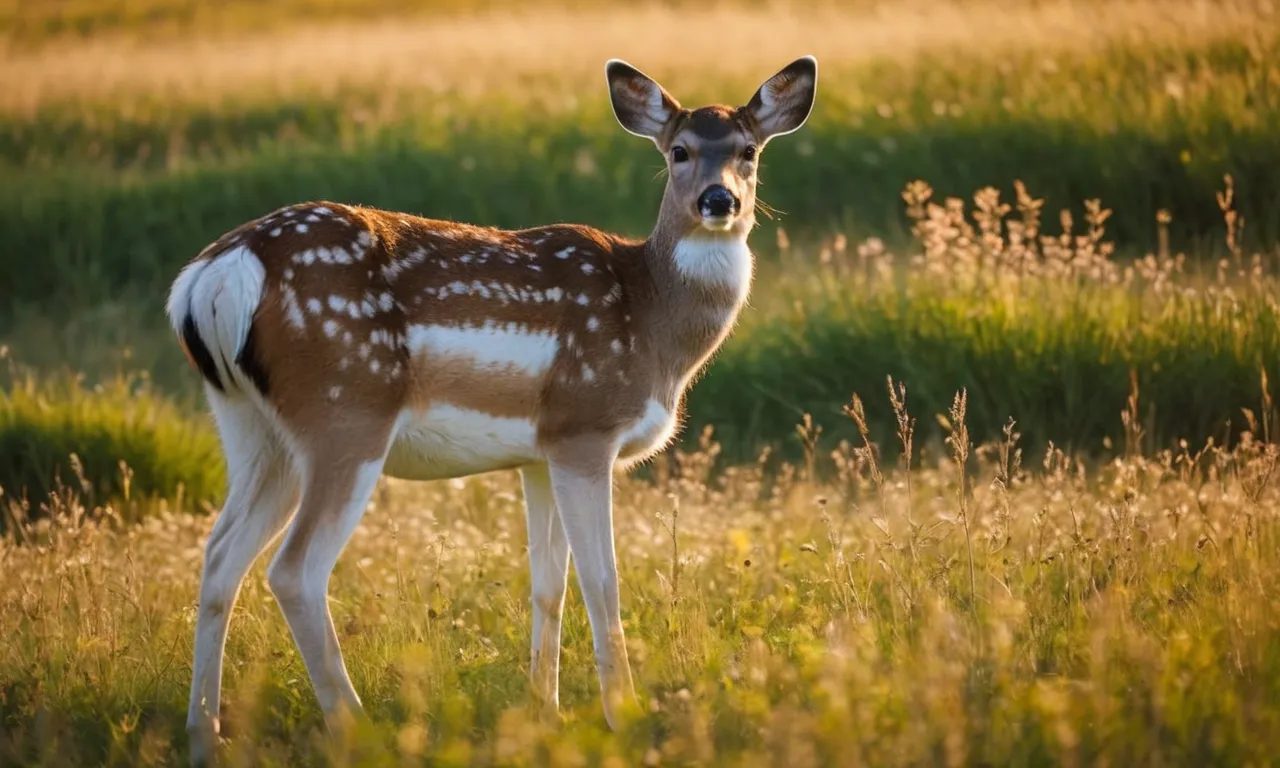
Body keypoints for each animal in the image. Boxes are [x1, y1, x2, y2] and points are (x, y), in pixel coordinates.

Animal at [166, 54, 817, 764]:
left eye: (749, 151)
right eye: (679, 151)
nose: (718, 200)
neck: (650, 322)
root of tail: (214, 275)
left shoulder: (540, 452)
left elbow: (547, 585)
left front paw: (544, 715)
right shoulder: (586, 427)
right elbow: (603, 582)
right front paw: (624, 714)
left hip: (253, 427)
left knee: (220, 557)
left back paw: (205, 736)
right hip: (345, 410)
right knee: (293, 570)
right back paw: (359, 730)